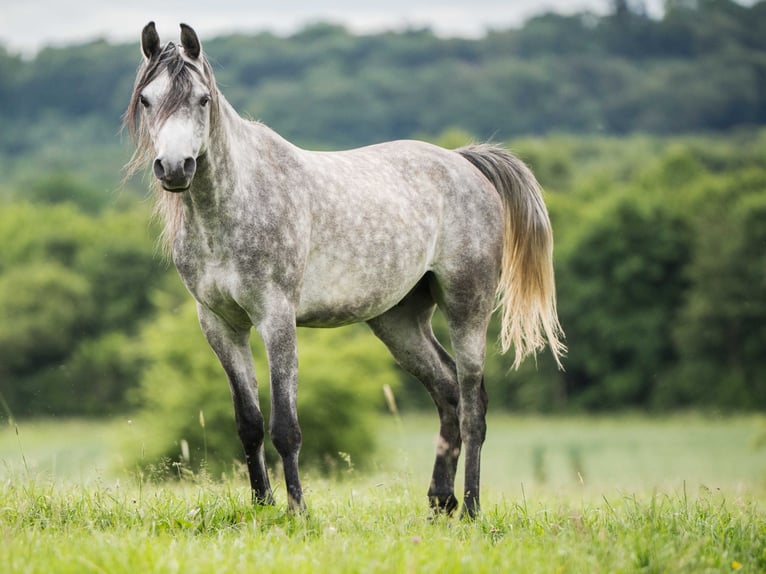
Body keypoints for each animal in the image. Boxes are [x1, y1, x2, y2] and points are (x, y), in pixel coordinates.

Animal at [124, 22, 564, 518]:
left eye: (202, 99)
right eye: (147, 99)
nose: (174, 168)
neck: (236, 201)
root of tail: (464, 162)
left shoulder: (276, 318)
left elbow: (285, 428)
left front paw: (297, 510)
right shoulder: (220, 324)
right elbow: (249, 423)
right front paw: (262, 506)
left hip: (467, 305)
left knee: (472, 405)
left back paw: (470, 507)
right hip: (398, 322)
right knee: (448, 392)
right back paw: (439, 502)